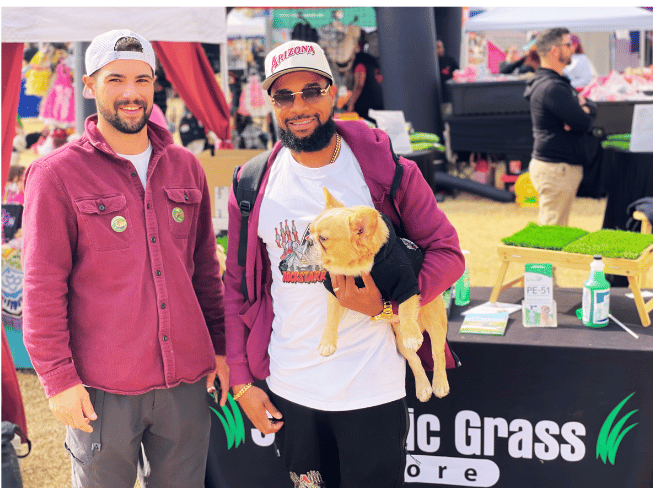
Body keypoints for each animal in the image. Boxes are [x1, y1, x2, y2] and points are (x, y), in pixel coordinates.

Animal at [310, 187, 448, 400]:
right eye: (308, 232)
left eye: (323, 239)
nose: (306, 241)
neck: (358, 267)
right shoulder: (336, 291)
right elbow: (331, 317)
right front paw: (327, 342)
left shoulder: (406, 285)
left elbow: (406, 308)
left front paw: (412, 334)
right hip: (399, 340)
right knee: (414, 359)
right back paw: (423, 388)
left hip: (435, 321)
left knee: (437, 352)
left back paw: (439, 384)